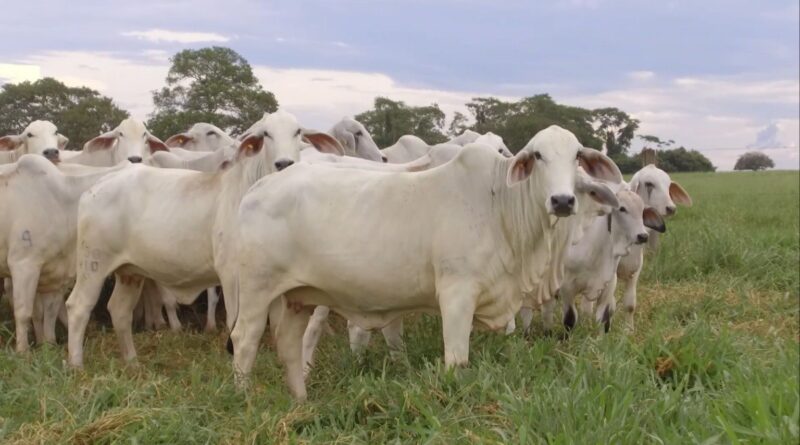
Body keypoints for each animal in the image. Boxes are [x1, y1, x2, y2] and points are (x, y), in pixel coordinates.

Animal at [0, 155, 128, 352]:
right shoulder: (23, 263)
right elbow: (23, 312)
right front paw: (23, 351)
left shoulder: (56, 273)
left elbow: (49, 312)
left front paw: (49, 345)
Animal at [64, 110, 344, 368]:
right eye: (266, 134)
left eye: (298, 132)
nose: (284, 163)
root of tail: (99, 184)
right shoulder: (231, 274)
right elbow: (234, 323)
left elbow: (274, 326)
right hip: (93, 264)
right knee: (78, 307)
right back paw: (77, 366)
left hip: (130, 271)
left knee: (119, 310)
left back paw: (132, 363)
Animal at [229, 125, 621, 399]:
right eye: (538, 155)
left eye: (577, 156)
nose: (562, 201)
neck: (500, 204)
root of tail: (259, 187)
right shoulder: (457, 293)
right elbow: (457, 359)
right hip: (256, 291)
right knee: (245, 341)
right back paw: (244, 398)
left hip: (297, 296)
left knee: (289, 346)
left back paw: (300, 401)